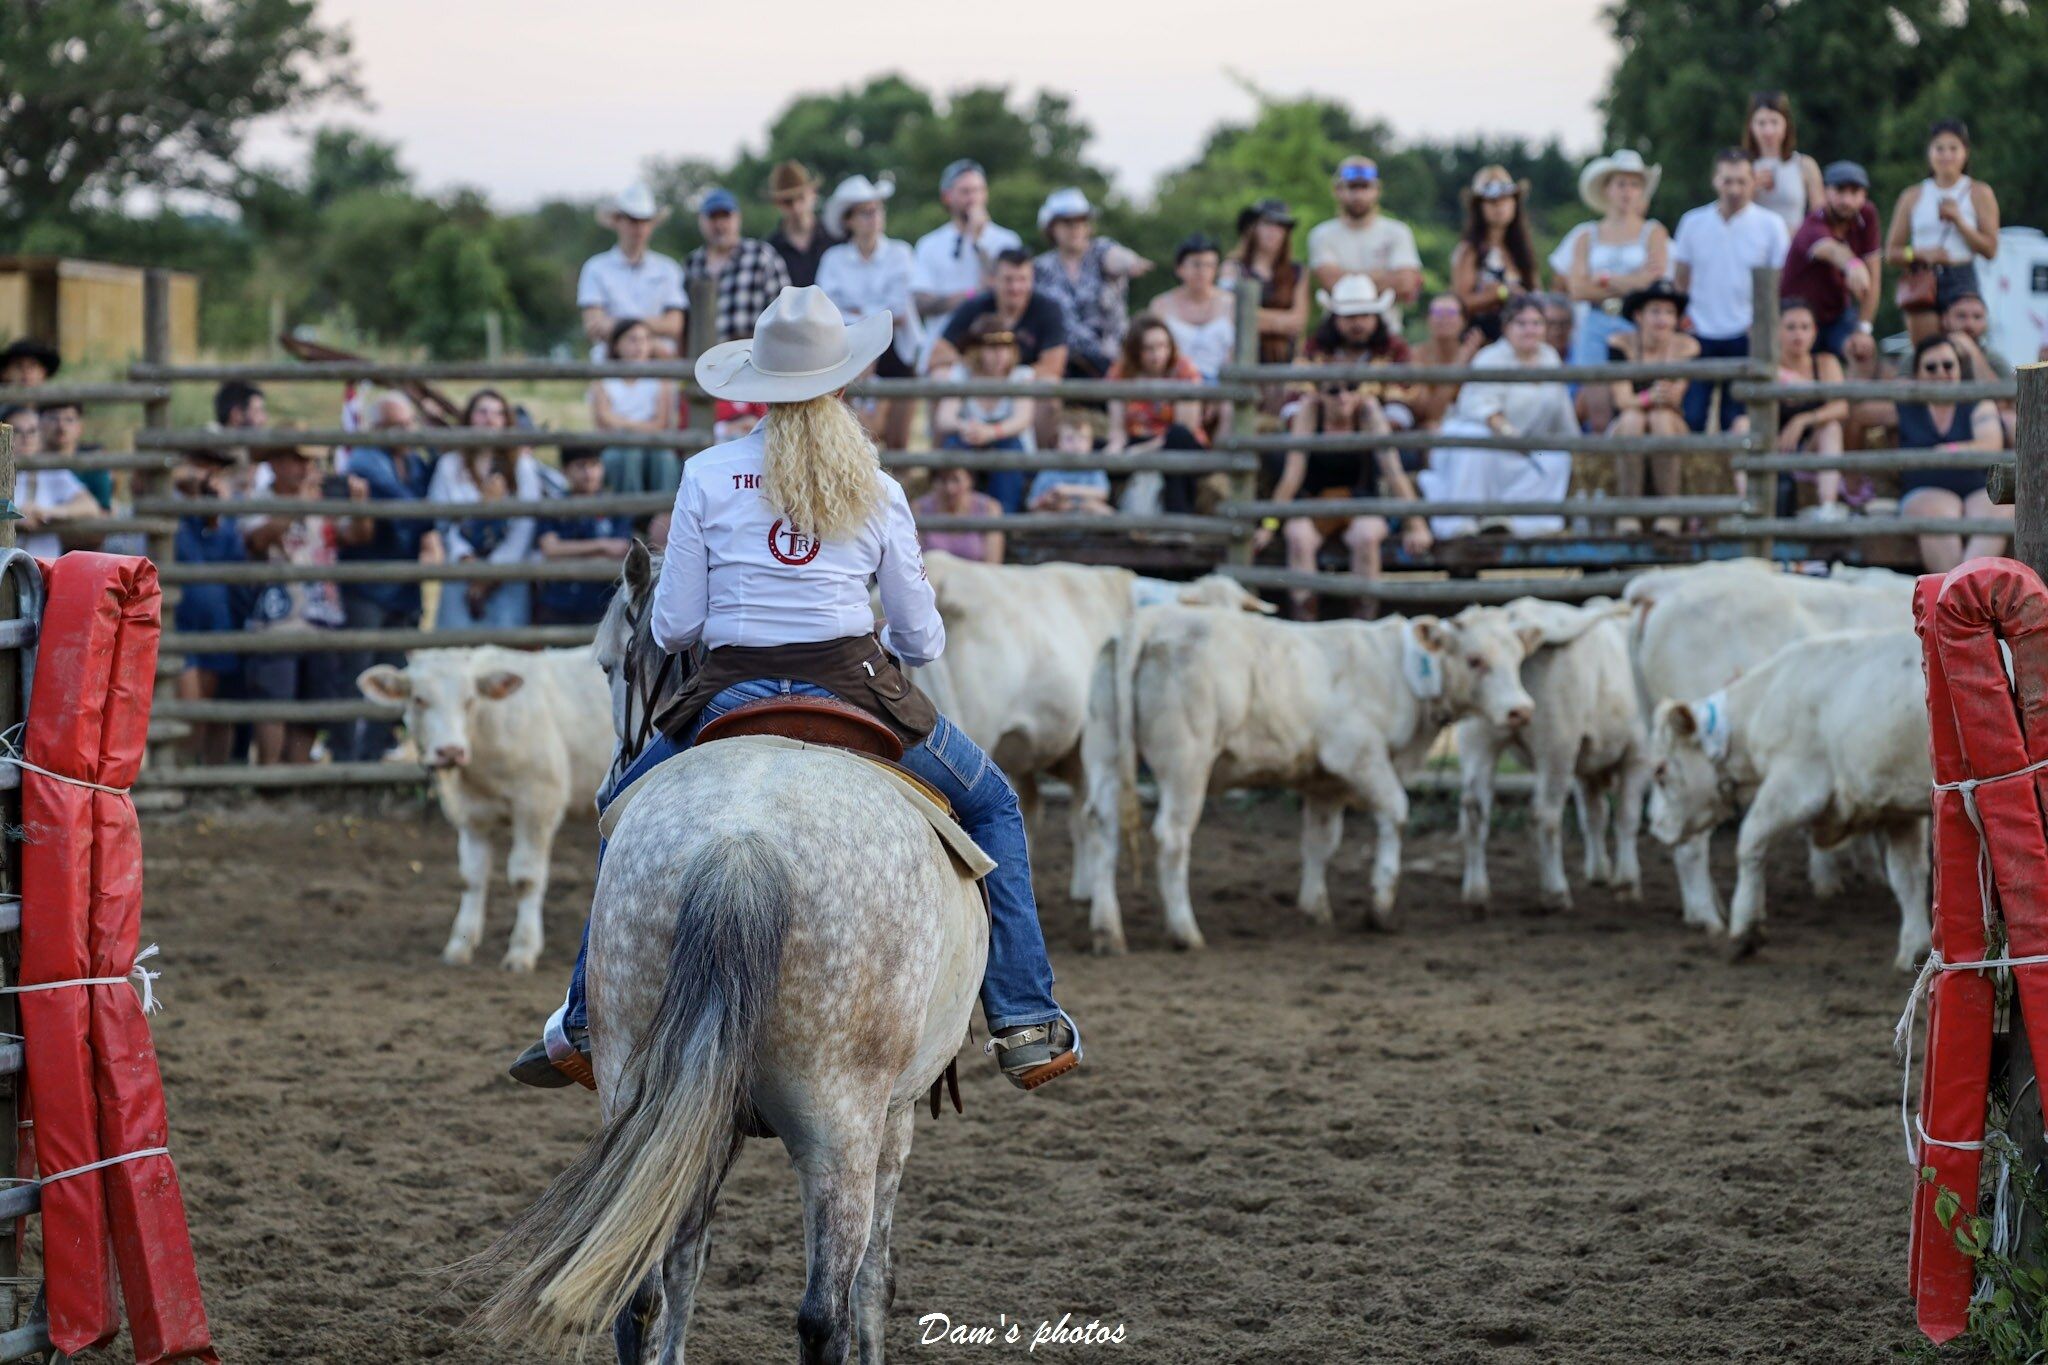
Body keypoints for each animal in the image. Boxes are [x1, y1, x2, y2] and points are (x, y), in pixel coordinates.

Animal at [357, 646, 613, 971]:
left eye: (470, 700)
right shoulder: (471, 816)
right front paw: (459, 945)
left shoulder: (538, 804)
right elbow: (472, 877)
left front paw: (522, 948)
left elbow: (525, 878)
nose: (450, 751)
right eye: (418, 699)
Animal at [472, 542, 991, 1365]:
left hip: (640, 1084)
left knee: (639, 1293)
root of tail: (741, 847)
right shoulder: (897, 1116)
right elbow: (875, 1282)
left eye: (606, 662)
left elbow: (687, 1260)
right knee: (824, 1310)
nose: (609, 778)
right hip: (840, 1126)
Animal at [1082, 607, 1535, 953]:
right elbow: (1396, 813)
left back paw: (1107, 931)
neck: (1397, 673)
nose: (1521, 710)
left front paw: (1315, 908)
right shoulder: (1358, 755)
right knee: (1172, 837)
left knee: (1103, 830)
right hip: (1186, 762)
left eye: (1517, 659)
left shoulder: (1325, 783)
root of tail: (1152, 619)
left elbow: (1320, 842)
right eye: (1475, 659)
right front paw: (1380, 906)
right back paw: (1185, 931)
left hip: (1104, 753)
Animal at [1454, 597, 1650, 913]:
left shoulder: (1586, 765)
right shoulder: (1638, 755)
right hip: (1557, 745)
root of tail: (1518, 617)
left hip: (1478, 741)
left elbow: (1594, 814)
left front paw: (1600, 871)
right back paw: (1556, 891)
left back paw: (1476, 892)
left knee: (1473, 809)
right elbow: (1626, 816)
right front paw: (1627, 882)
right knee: (1544, 814)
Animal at [1646, 628, 1931, 970]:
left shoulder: (1796, 784)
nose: (1654, 825)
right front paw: (1915, 950)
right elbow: (1908, 876)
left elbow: (1750, 840)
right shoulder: (1899, 809)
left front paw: (1745, 929)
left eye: (1660, 769)